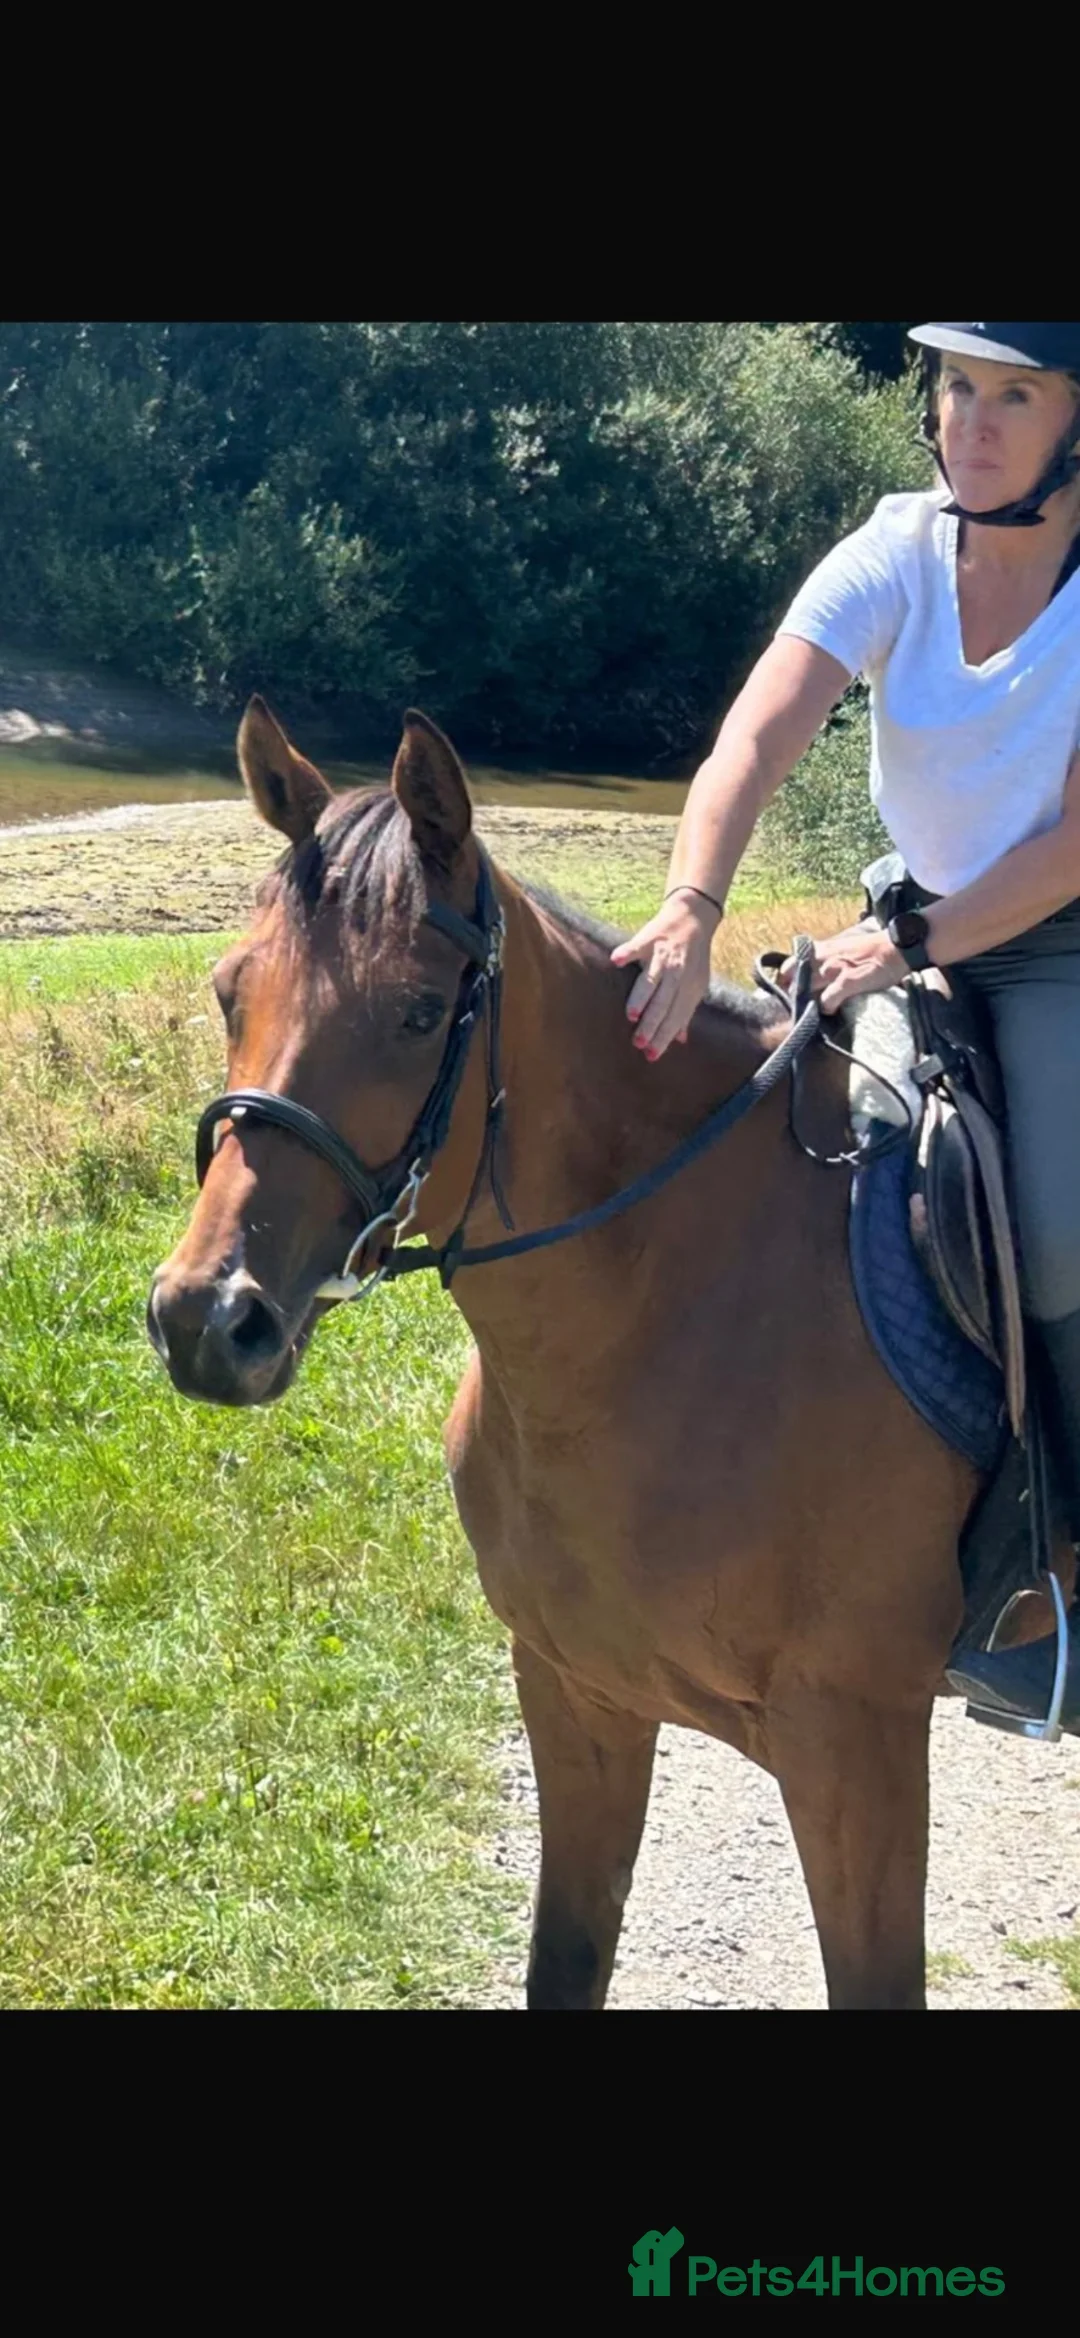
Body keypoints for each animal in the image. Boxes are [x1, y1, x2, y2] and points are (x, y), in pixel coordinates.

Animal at [147, 696, 1068, 2010]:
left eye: (417, 1012)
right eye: (232, 992)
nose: (208, 1321)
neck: (654, 1313)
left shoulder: (857, 1745)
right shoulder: (576, 1693)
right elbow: (566, 1961)